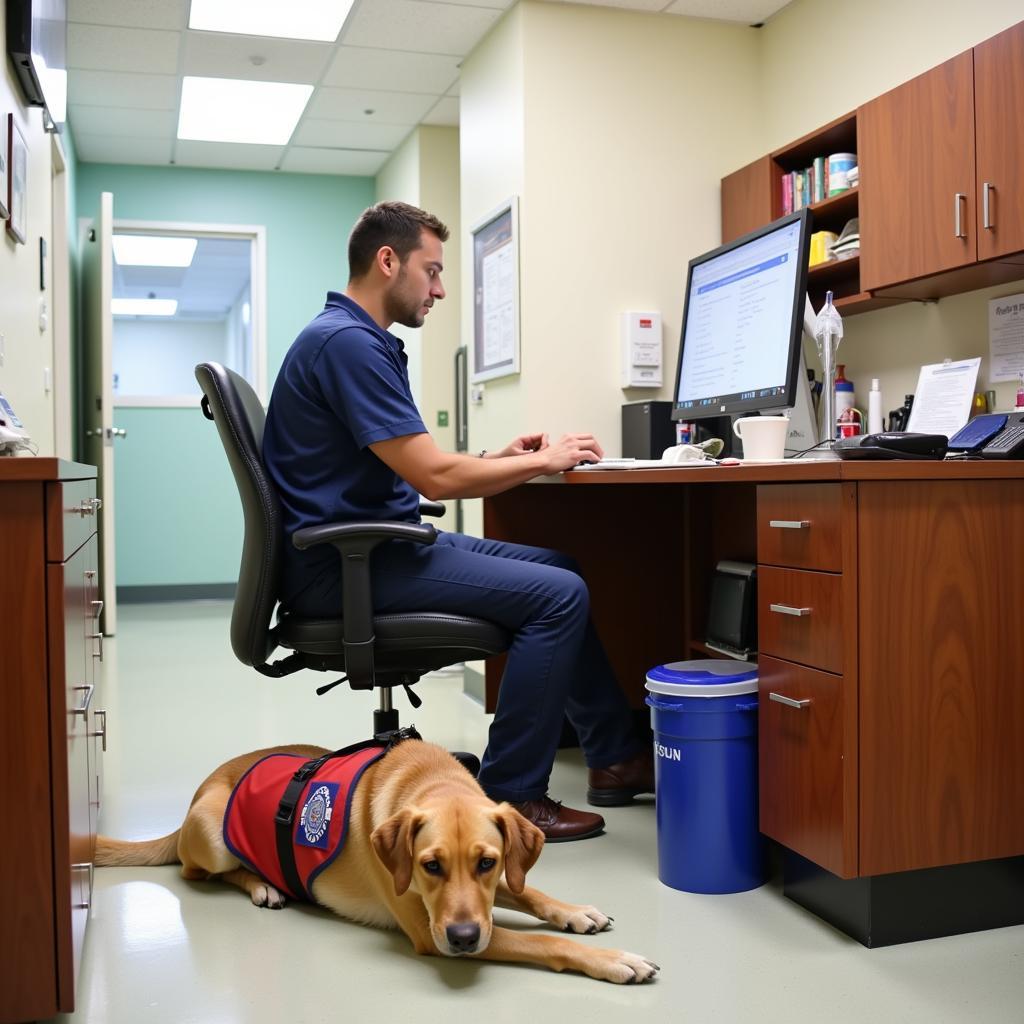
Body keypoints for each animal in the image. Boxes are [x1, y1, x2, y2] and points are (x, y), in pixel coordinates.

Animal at [94, 737, 655, 983]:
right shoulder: (431, 931)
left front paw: (575, 912)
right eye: (429, 866)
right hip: (212, 835)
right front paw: (614, 960)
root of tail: (201, 789)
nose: (463, 939)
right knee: (202, 871)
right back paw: (263, 884)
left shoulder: (492, 891)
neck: (432, 780)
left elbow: (529, 890)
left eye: (487, 863)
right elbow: (539, 942)